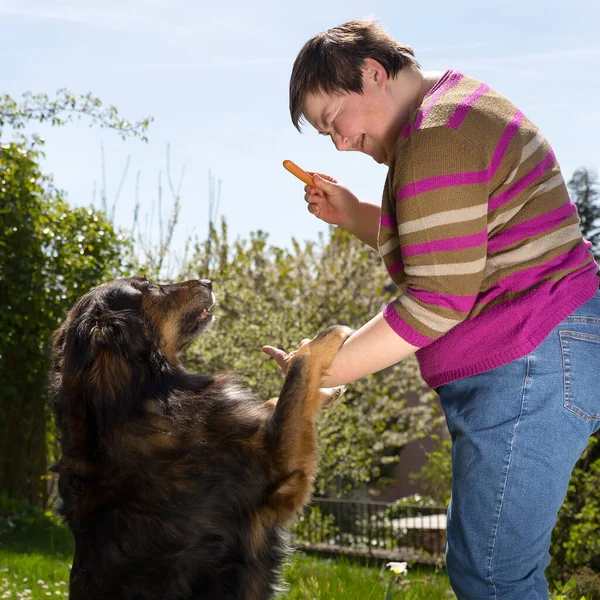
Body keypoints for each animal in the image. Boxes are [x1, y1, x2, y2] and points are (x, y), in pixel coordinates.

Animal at [51, 278, 352, 600]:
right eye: (149, 288)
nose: (208, 281)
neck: (133, 394)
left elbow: (279, 401)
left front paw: (323, 392)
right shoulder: (279, 468)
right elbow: (295, 381)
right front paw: (324, 340)